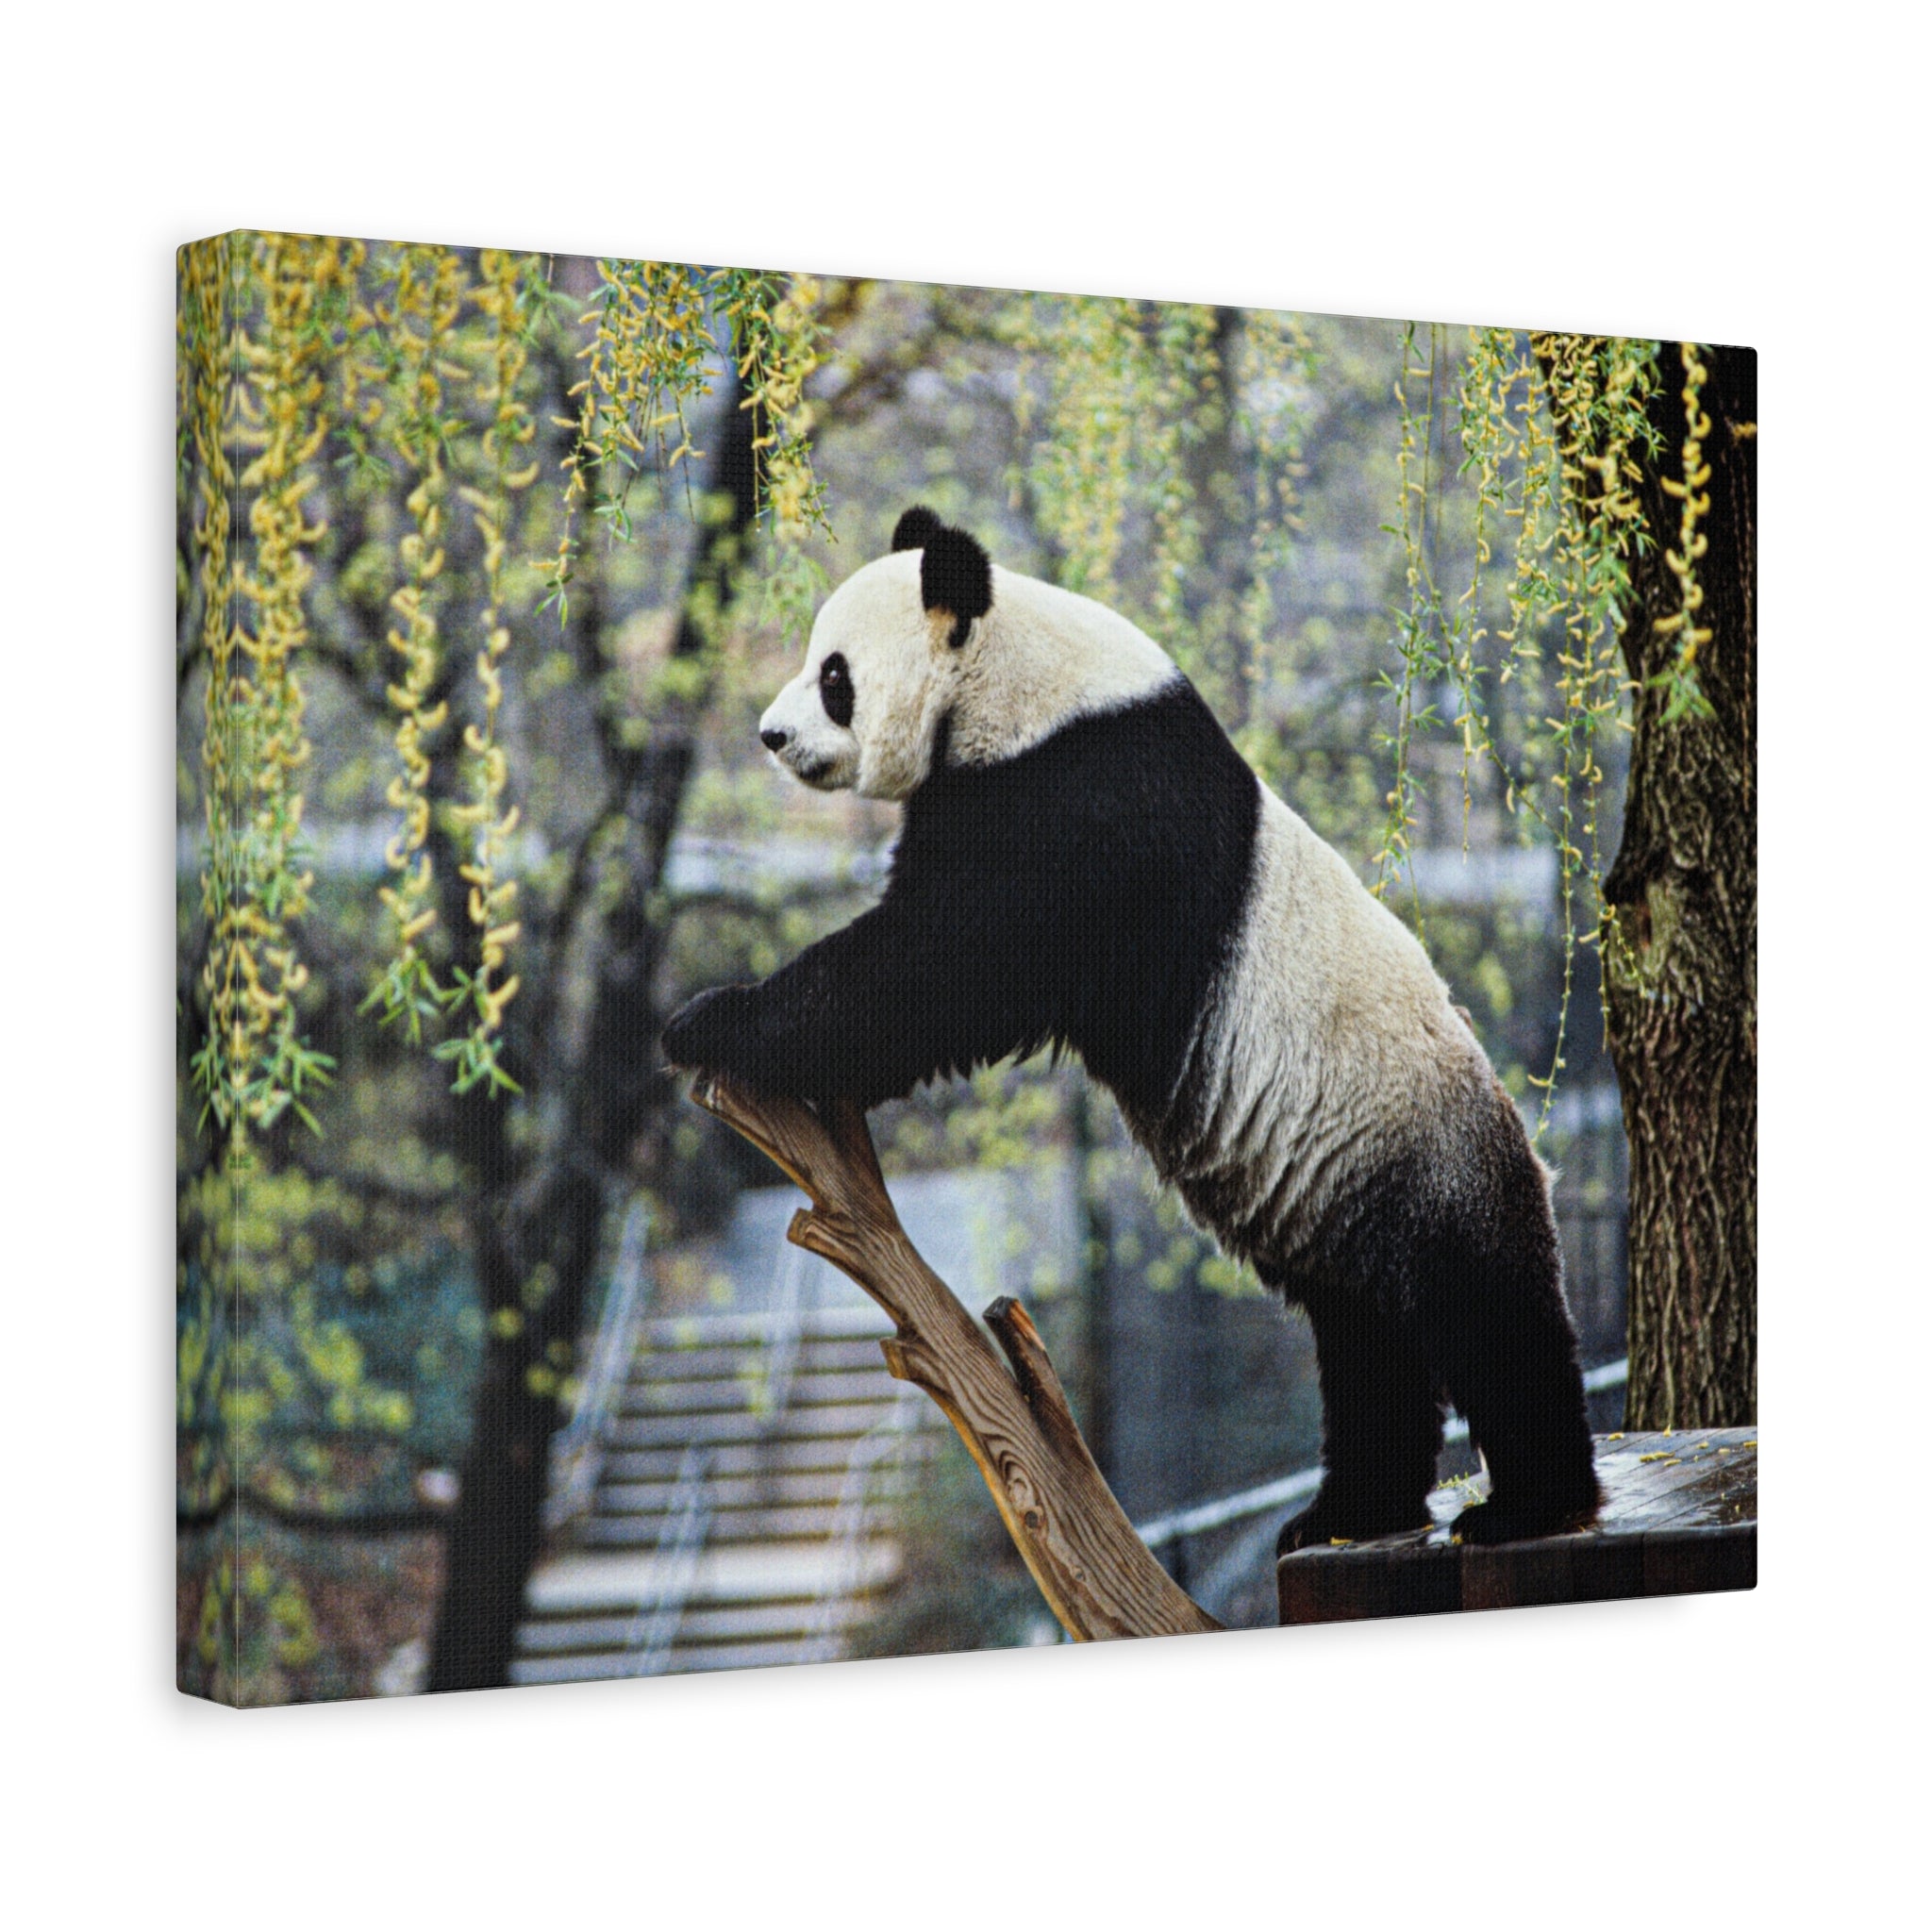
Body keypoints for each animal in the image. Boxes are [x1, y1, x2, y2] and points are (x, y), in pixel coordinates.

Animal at [664, 506, 1602, 1550]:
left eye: (835, 675)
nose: (771, 734)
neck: (1019, 678)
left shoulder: (1080, 803)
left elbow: (940, 965)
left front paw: (713, 1020)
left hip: (1422, 1151)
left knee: (1485, 1314)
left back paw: (1526, 1504)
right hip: (1345, 1193)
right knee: (1366, 1341)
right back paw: (1349, 1512)